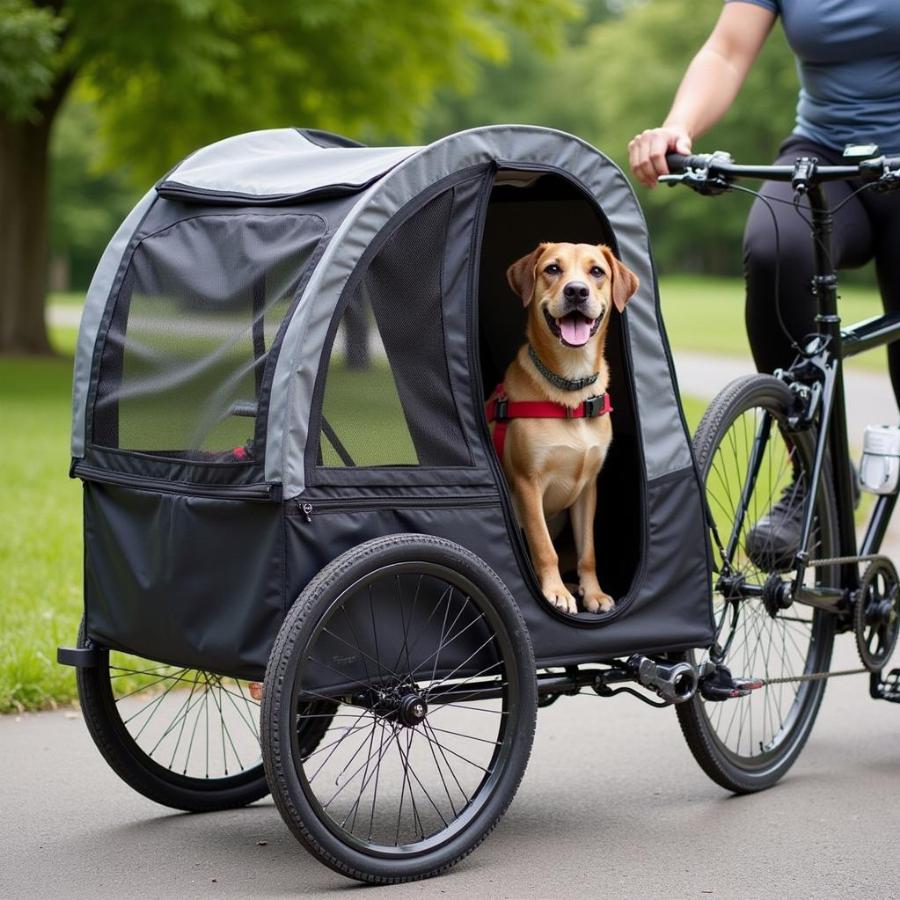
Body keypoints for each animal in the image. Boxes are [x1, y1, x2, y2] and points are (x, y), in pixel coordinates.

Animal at [492, 243, 640, 616]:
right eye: (553, 269)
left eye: (597, 271)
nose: (576, 291)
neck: (571, 387)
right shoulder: (528, 483)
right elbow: (544, 548)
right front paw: (556, 592)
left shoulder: (588, 488)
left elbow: (588, 551)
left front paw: (593, 592)